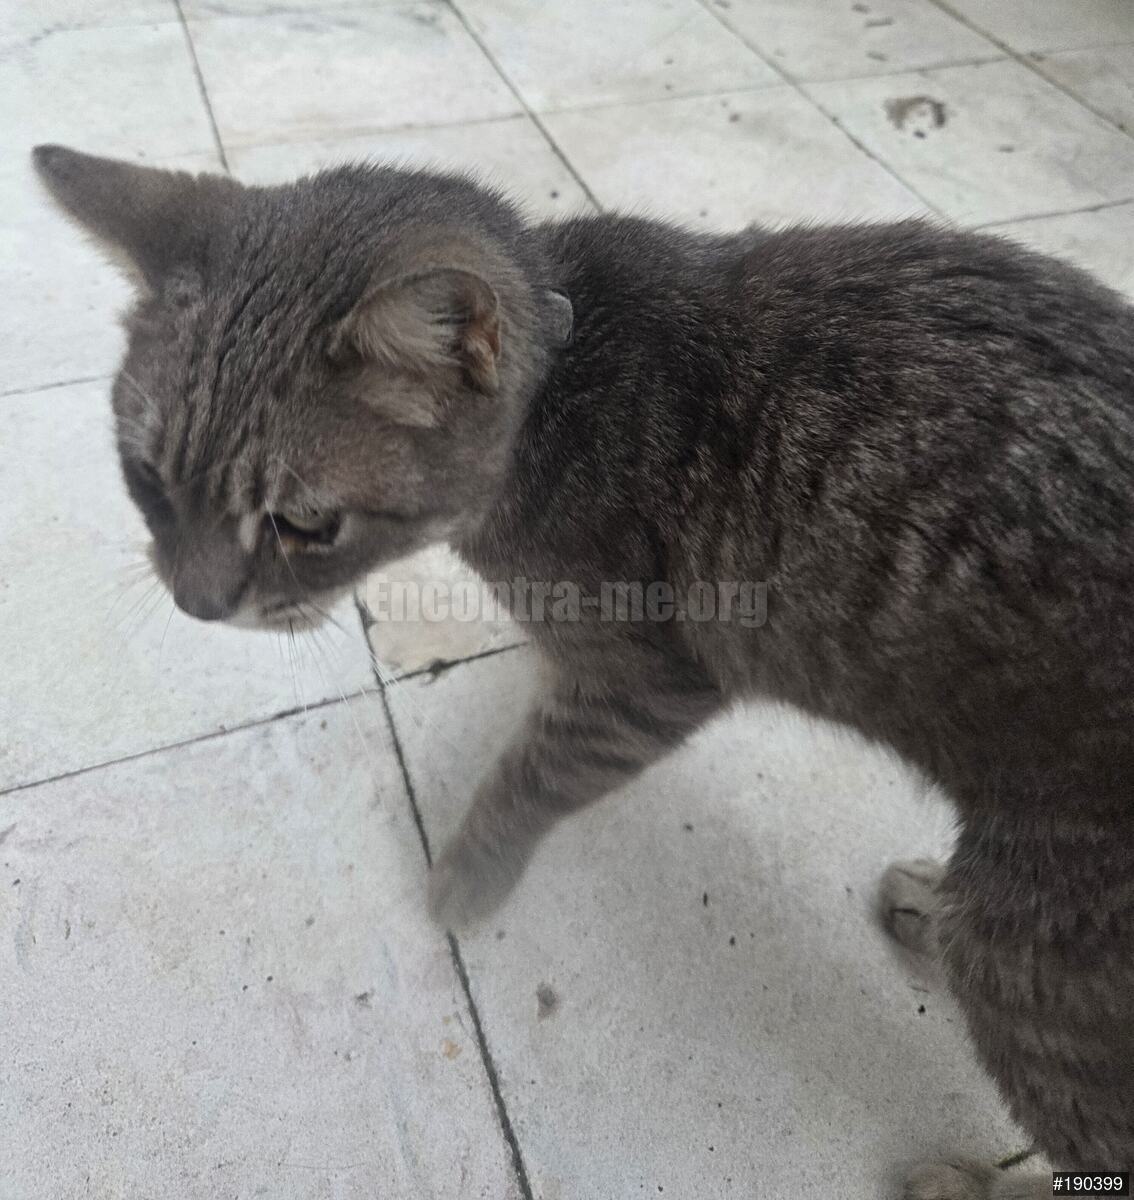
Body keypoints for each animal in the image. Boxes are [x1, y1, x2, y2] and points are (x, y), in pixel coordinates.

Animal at [34, 143, 1134, 1199]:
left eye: (304, 524)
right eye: (145, 476)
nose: (196, 603)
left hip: (1029, 959)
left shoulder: (643, 683)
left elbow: (531, 776)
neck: (559, 386)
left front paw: (464, 879)